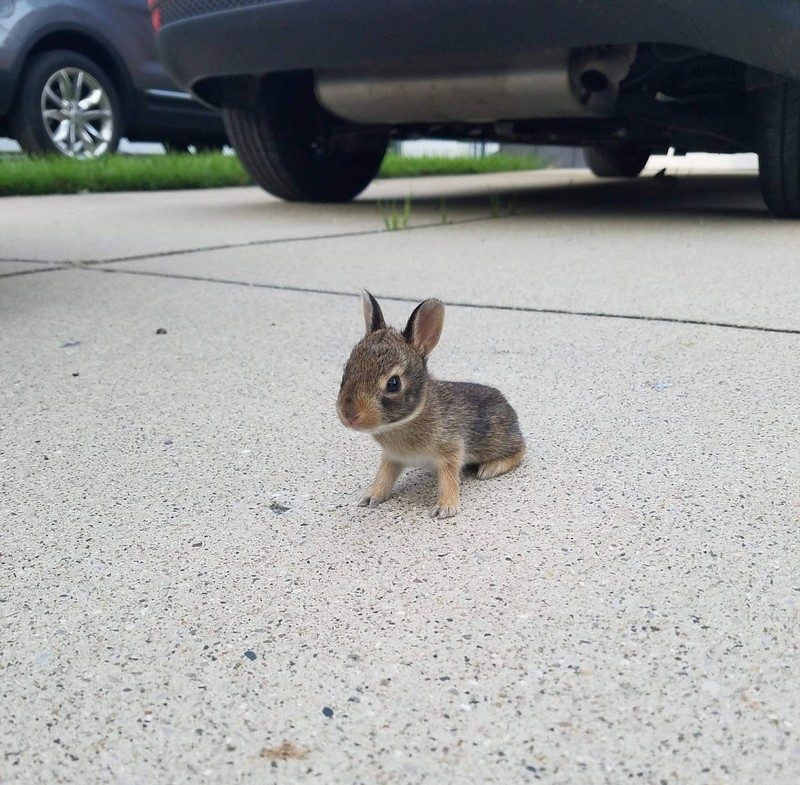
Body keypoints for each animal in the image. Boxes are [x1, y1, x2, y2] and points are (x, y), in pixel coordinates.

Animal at [336, 290, 524, 516]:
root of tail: (509, 408)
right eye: (346, 370)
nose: (349, 416)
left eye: (393, 383)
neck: (408, 419)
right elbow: (384, 475)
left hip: (497, 441)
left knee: (520, 451)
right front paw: (371, 496)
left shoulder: (450, 451)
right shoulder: (392, 457)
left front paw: (445, 508)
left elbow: (449, 478)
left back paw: (489, 468)